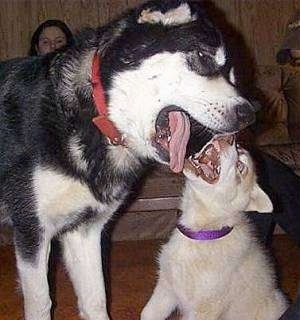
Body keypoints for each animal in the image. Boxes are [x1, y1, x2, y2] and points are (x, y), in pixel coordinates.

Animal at [0, 1, 255, 318]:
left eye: (232, 76)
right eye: (203, 57)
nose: (250, 114)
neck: (94, 117)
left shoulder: (84, 232)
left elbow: (96, 301)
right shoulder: (32, 230)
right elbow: (41, 302)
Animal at [142, 137, 290, 320]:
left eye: (241, 167)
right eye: (238, 147)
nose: (229, 138)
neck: (202, 233)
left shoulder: (204, 309)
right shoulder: (166, 289)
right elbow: (146, 314)